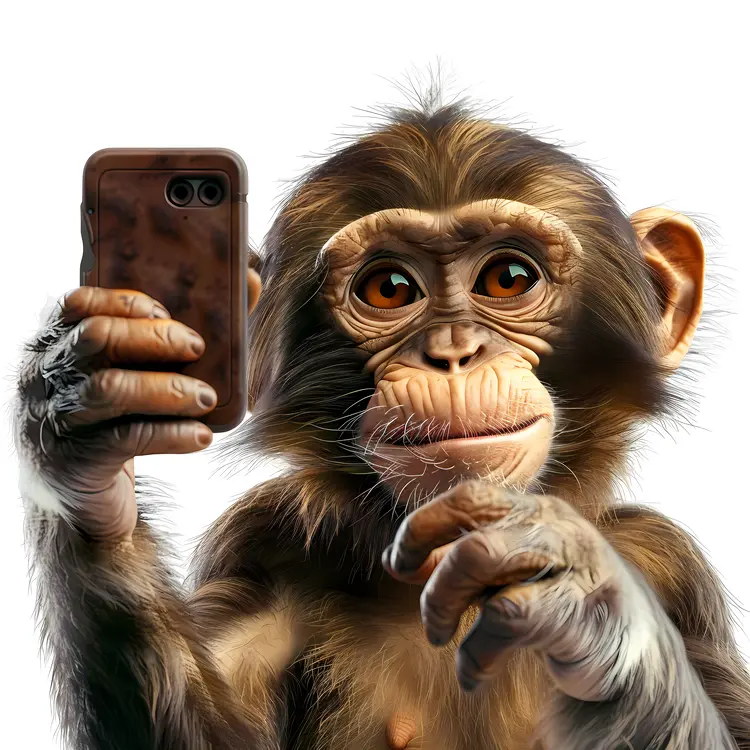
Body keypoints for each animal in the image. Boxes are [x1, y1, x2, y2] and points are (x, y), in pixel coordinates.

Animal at [14, 91, 750, 750]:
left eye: (509, 278)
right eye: (390, 289)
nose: (452, 353)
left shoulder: (665, 563)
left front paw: (589, 604)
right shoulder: (266, 545)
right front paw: (82, 448)